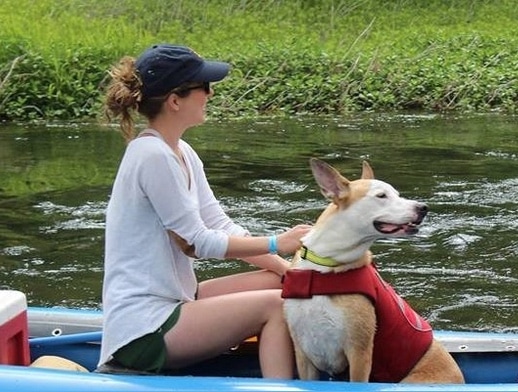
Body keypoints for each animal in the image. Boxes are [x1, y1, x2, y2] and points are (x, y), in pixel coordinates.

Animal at [284, 158, 468, 382]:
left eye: (397, 193)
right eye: (381, 196)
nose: (423, 207)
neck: (325, 266)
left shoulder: (359, 352)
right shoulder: (303, 352)